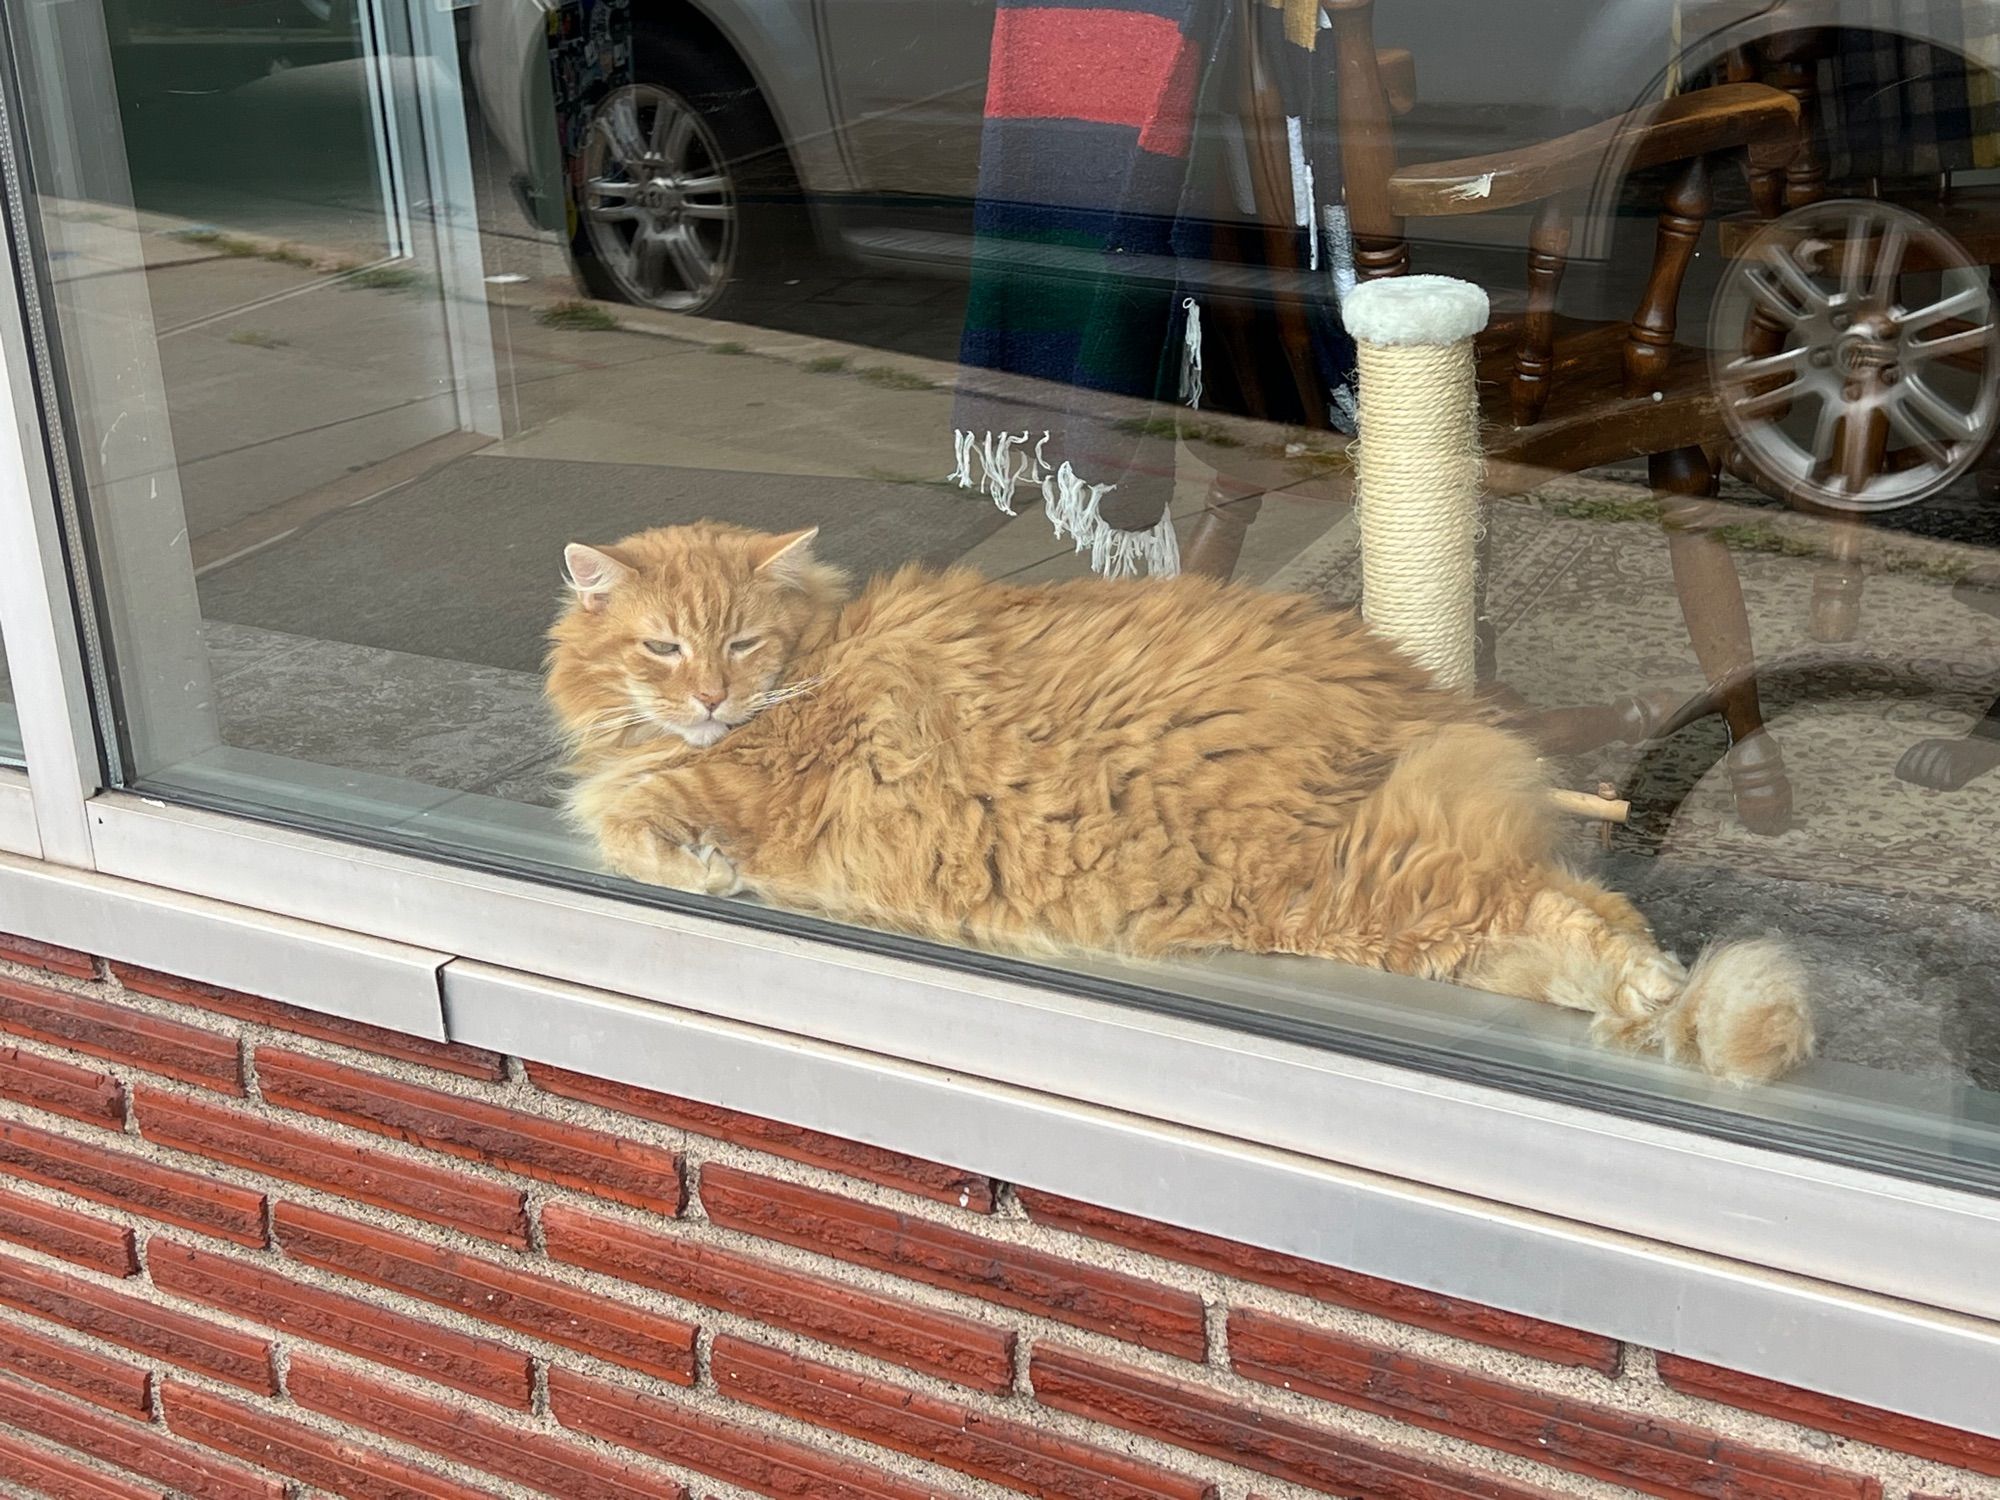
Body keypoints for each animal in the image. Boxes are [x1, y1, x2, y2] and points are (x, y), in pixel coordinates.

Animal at [548, 524, 1816, 1088]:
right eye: (663, 647)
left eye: (737, 644)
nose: (708, 698)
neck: (812, 664)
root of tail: (1422, 694)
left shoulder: (716, 782)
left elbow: (620, 821)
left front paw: (702, 868)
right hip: (1397, 911)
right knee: (1571, 923)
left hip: (1387, 881)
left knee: (1601, 925)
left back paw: (1664, 998)